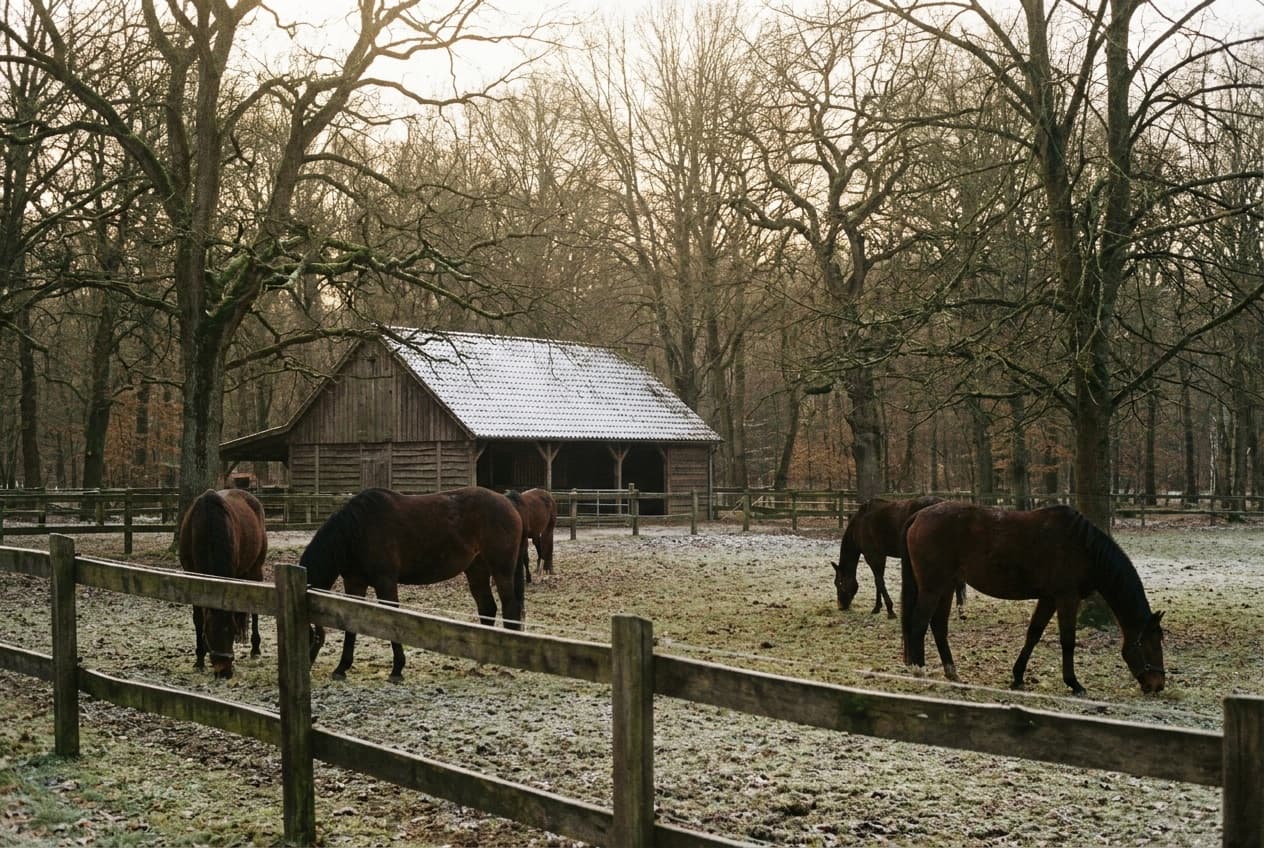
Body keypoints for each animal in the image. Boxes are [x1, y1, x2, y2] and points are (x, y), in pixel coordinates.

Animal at [177, 488, 268, 679]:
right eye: (209, 632)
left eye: (231, 630)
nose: (224, 671)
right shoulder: (191, 575)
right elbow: (198, 618)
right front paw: (199, 658)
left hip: (256, 569)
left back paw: (255, 648)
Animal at [301, 486, 525, 681]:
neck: (358, 531)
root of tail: (507, 500)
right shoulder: (354, 584)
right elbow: (350, 623)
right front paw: (341, 668)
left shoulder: (386, 582)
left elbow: (393, 621)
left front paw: (397, 670)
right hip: (476, 571)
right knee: (487, 608)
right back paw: (479, 663)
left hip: (502, 571)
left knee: (510, 608)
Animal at [832, 496, 965, 618]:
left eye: (839, 583)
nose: (841, 606)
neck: (859, 526)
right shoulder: (881, 555)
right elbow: (878, 581)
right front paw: (877, 607)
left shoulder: (873, 555)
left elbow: (879, 581)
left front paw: (890, 610)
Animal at [900, 501, 1166, 695]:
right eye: (1150, 643)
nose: (1158, 685)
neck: (1083, 547)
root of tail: (919, 515)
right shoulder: (1067, 598)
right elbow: (1067, 641)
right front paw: (1074, 683)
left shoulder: (1048, 599)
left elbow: (1033, 634)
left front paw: (1018, 677)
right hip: (932, 588)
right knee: (919, 625)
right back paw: (920, 672)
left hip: (945, 588)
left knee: (938, 627)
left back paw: (951, 673)